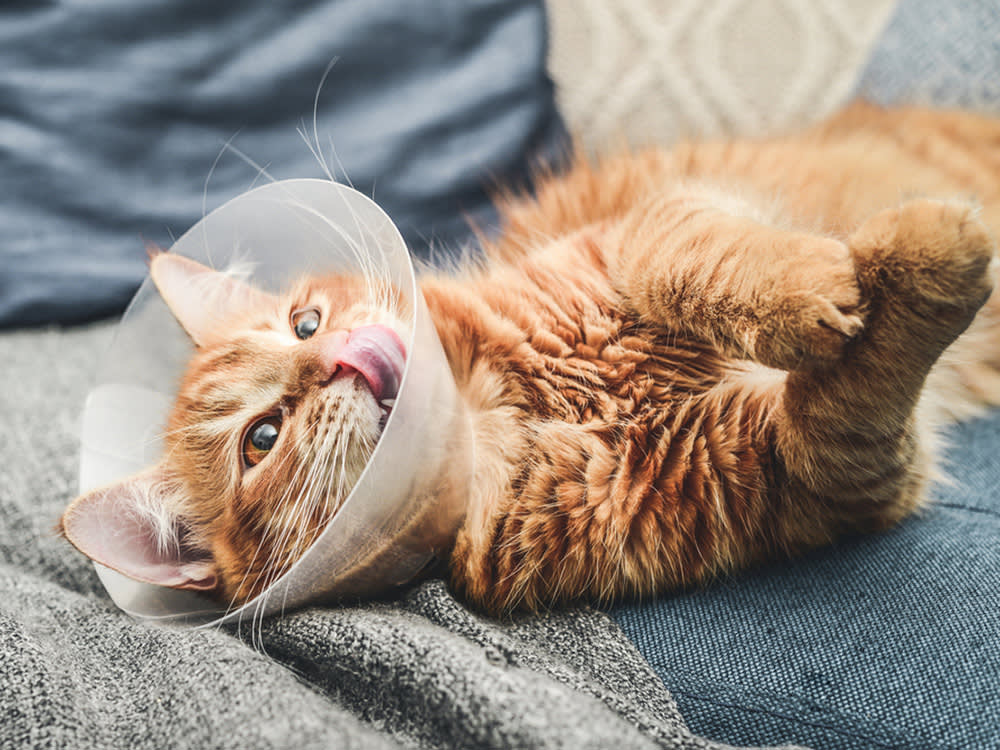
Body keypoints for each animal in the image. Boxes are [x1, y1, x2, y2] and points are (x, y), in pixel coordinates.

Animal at [60, 104, 1000, 616]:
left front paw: (825, 282)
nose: (338, 356)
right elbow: (855, 388)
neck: (512, 401)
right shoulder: (809, 469)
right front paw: (924, 259)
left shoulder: (637, 232)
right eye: (261, 438)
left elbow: (692, 257)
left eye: (304, 322)